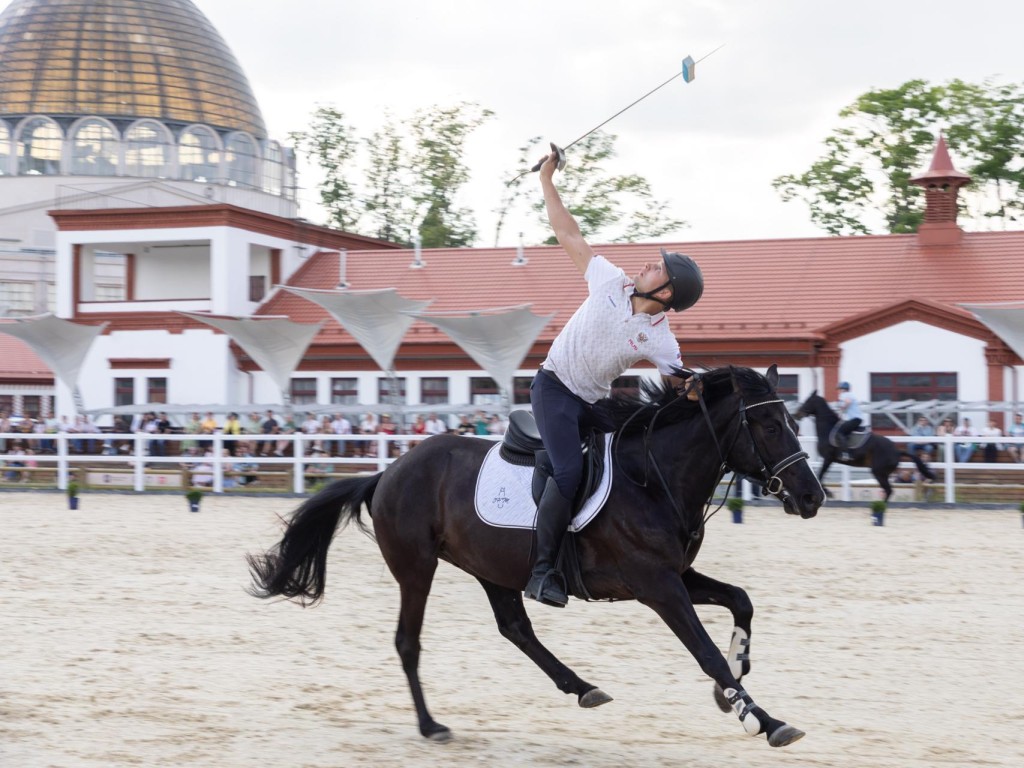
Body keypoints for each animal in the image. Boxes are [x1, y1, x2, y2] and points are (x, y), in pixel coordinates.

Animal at [247, 368, 823, 753]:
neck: (652, 476)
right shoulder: (657, 585)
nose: (812, 496)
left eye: (792, 421)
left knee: (516, 629)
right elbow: (704, 652)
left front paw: (736, 681)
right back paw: (431, 725)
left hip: (492, 567)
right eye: (770, 426)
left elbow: (740, 602)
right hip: (417, 568)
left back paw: (582, 688)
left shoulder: (678, 574)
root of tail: (388, 472)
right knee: (409, 641)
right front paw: (760, 718)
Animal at [790, 391, 937, 505]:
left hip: (879, 472)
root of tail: (896, 451)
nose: (796, 415)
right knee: (888, 490)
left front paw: (828, 493)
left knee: (889, 490)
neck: (828, 428)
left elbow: (820, 475)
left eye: (808, 401)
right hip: (882, 473)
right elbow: (820, 475)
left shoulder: (828, 458)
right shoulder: (829, 459)